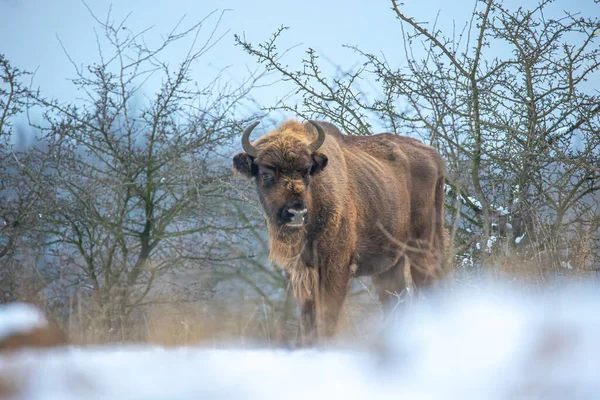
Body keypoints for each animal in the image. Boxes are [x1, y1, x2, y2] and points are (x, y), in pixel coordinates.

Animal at [234, 119, 446, 344]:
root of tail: (433, 155)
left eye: (306, 171)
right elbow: (308, 319)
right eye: (265, 174)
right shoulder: (301, 272)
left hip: (423, 248)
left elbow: (327, 314)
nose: (296, 212)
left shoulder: (335, 265)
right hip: (390, 264)